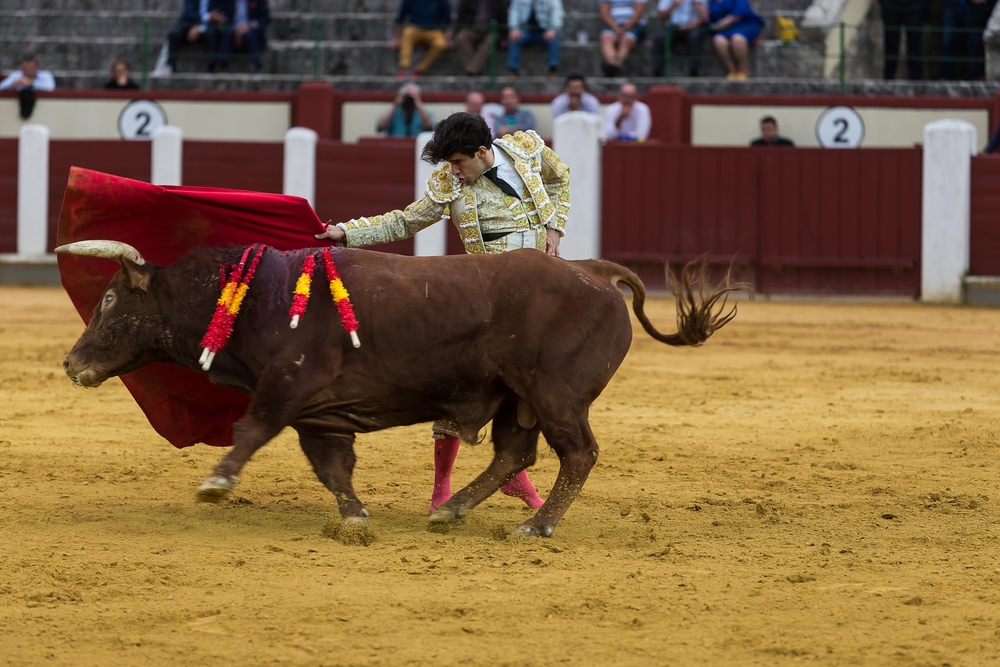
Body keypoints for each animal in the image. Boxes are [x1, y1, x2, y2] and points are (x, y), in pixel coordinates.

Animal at [56, 240, 744, 536]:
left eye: (110, 299)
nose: (70, 363)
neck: (255, 297)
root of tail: (593, 271)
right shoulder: (319, 413)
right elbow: (332, 467)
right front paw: (356, 518)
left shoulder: (288, 384)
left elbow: (251, 430)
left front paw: (216, 483)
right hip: (515, 398)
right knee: (514, 453)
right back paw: (451, 510)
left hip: (554, 392)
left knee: (578, 452)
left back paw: (536, 526)